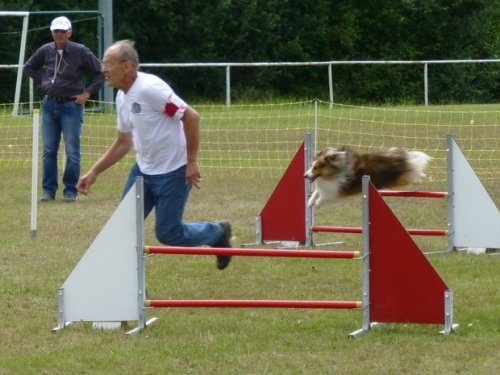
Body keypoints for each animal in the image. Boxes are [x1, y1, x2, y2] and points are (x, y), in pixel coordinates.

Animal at [302, 146, 432, 209]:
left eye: (316, 168)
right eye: (311, 166)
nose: (305, 176)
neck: (335, 171)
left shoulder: (335, 192)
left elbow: (323, 197)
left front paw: (316, 204)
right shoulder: (326, 187)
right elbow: (316, 193)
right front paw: (309, 203)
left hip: (401, 178)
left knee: (415, 171)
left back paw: (424, 177)